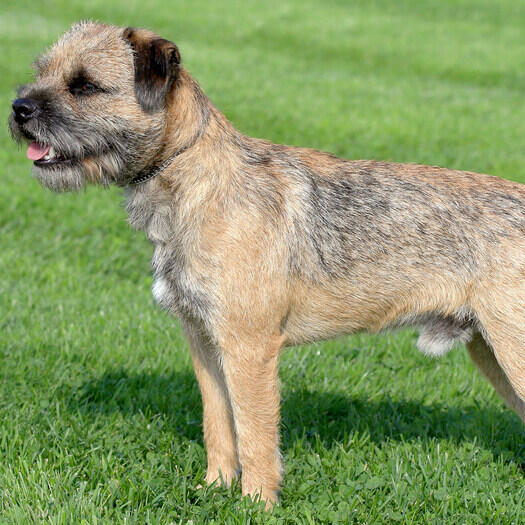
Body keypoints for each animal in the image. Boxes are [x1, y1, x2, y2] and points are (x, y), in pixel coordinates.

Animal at [7, 21, 524, 508]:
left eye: (84, 85)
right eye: (41, 72)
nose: (18, 109)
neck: (197, 180)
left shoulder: (248, 348)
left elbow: (254, 433)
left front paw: (256, 501)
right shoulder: (204, 344)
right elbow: (218, 424)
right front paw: (215, 488)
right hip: (490, 352)